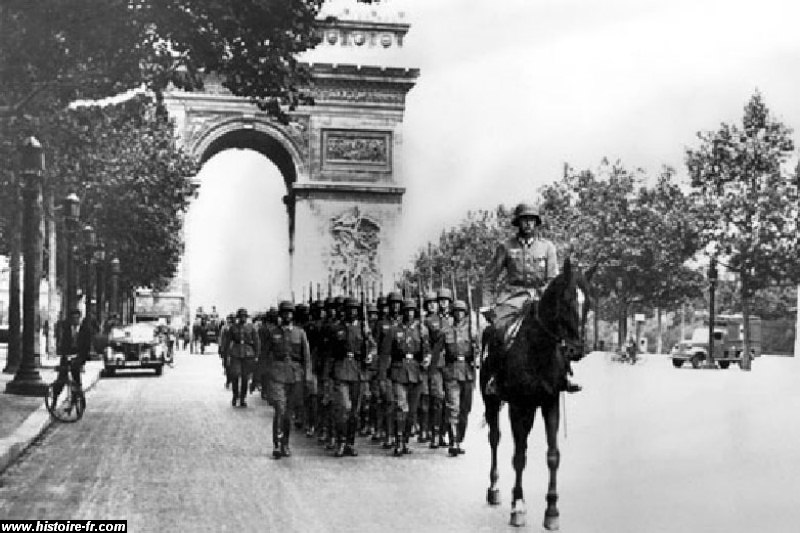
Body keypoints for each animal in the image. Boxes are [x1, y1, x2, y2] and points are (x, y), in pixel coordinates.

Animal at [478, 258, 592, 528]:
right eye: (566, 301)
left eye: (589, 304)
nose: (576, 350)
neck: (538, 348)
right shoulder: (518, 406)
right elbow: (519, 456)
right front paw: (518, 506)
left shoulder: (550, 403)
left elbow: (553, 455)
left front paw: (551, 510)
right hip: (491, 401)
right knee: (495, 438)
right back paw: (494, 488)